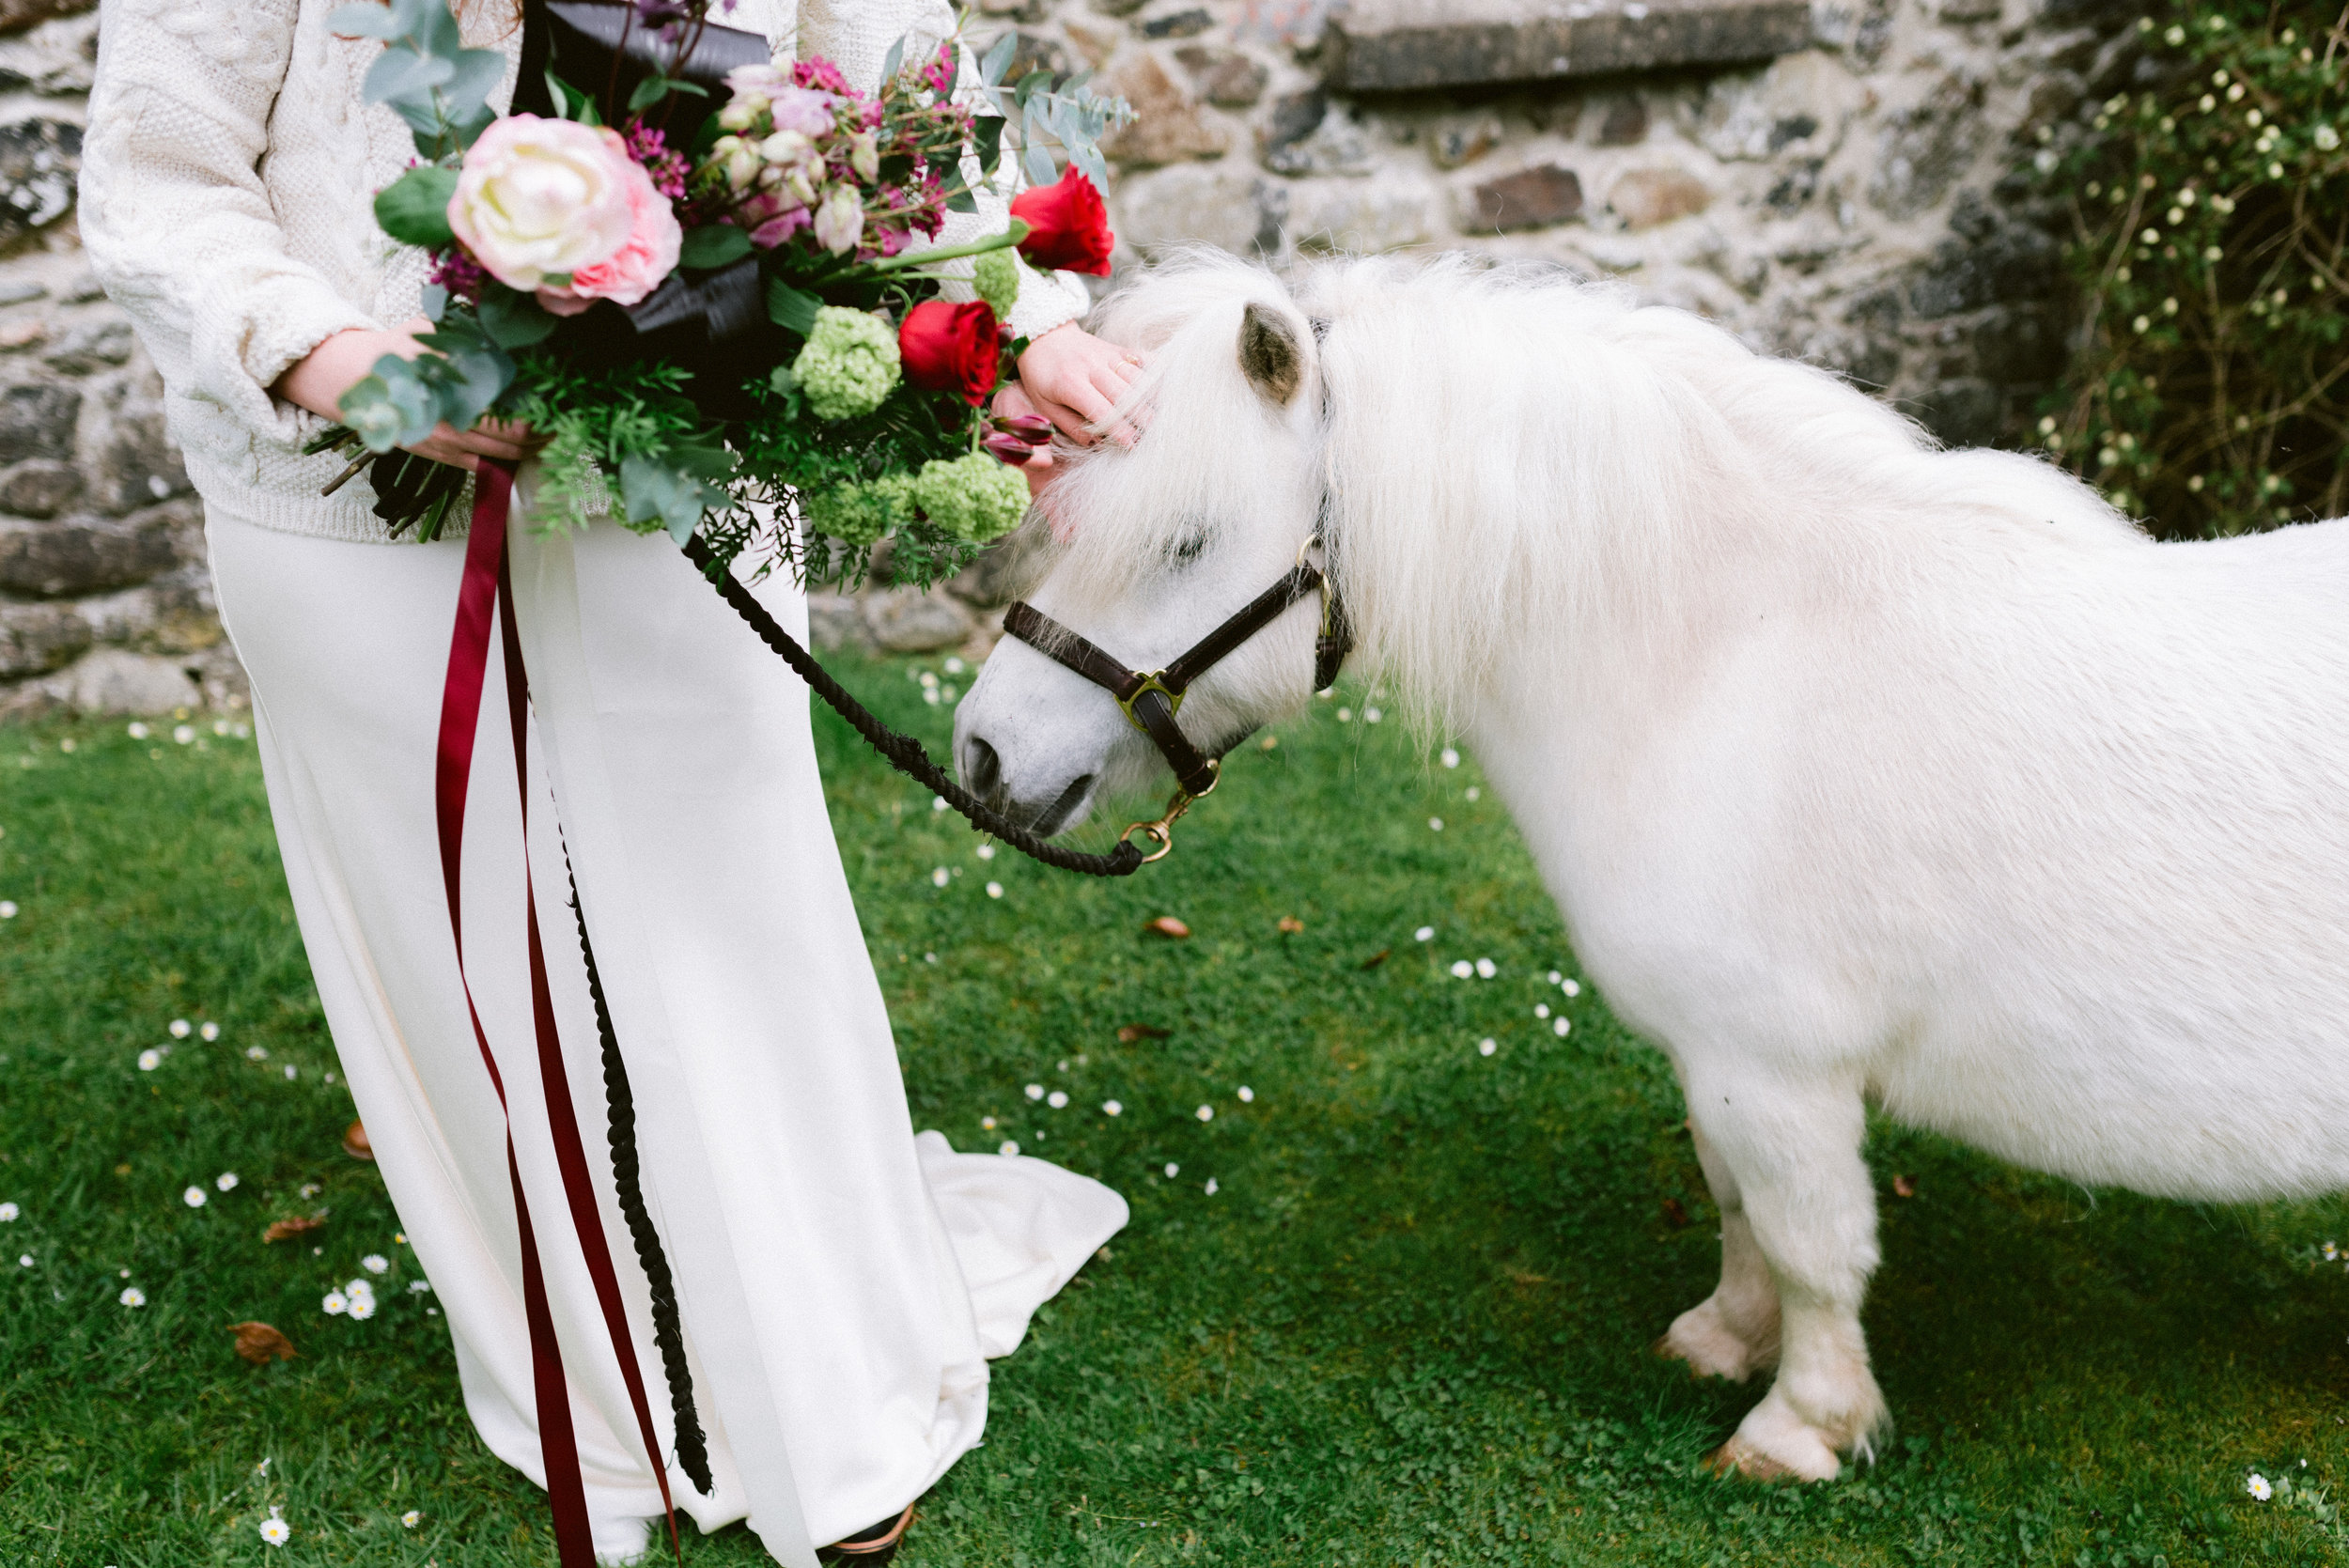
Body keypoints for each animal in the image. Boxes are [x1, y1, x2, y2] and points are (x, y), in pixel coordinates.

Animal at [949, 255, 2349, 1483]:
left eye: (1186, 542)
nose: (983, 750)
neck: (1727, 665)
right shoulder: (1716, 1060)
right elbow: (1734, 1206)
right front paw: (1725, 1339)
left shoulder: (1774, 1070)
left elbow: (1810, 1241)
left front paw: (1803, 1426)